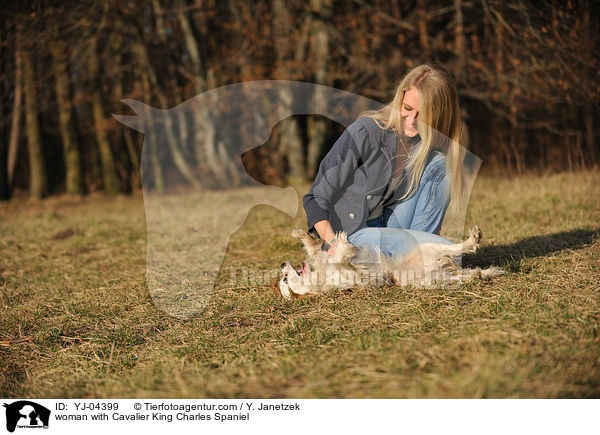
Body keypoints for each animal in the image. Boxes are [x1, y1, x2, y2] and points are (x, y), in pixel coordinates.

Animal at [278, 225, 504, 300]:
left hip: (431, 248)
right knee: (461, 277)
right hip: (426, 281)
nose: (282, 266)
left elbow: (315, 248)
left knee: (459, 248)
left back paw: (475, 242)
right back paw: (479, 273)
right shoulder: (356, 277)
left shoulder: (323, 258)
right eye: (284, 280)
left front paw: (300, 234)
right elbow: (343, 262)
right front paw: (343, 246)